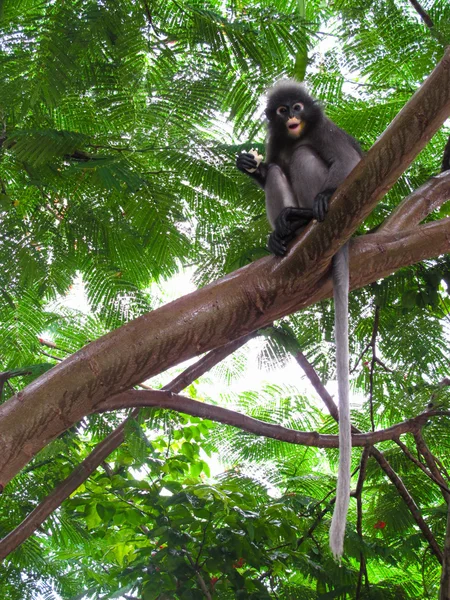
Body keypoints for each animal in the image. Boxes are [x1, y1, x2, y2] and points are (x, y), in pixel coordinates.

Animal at [237, 79, 364, 556]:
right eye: (280, 111)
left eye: (297, 106)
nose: (291, 116)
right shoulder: (276, 141)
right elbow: (271, 162)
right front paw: (249, 166)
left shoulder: (325, 129)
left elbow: (350, 160)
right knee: (280, 170)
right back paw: (285, 232)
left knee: (310, 159)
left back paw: (311, 213)